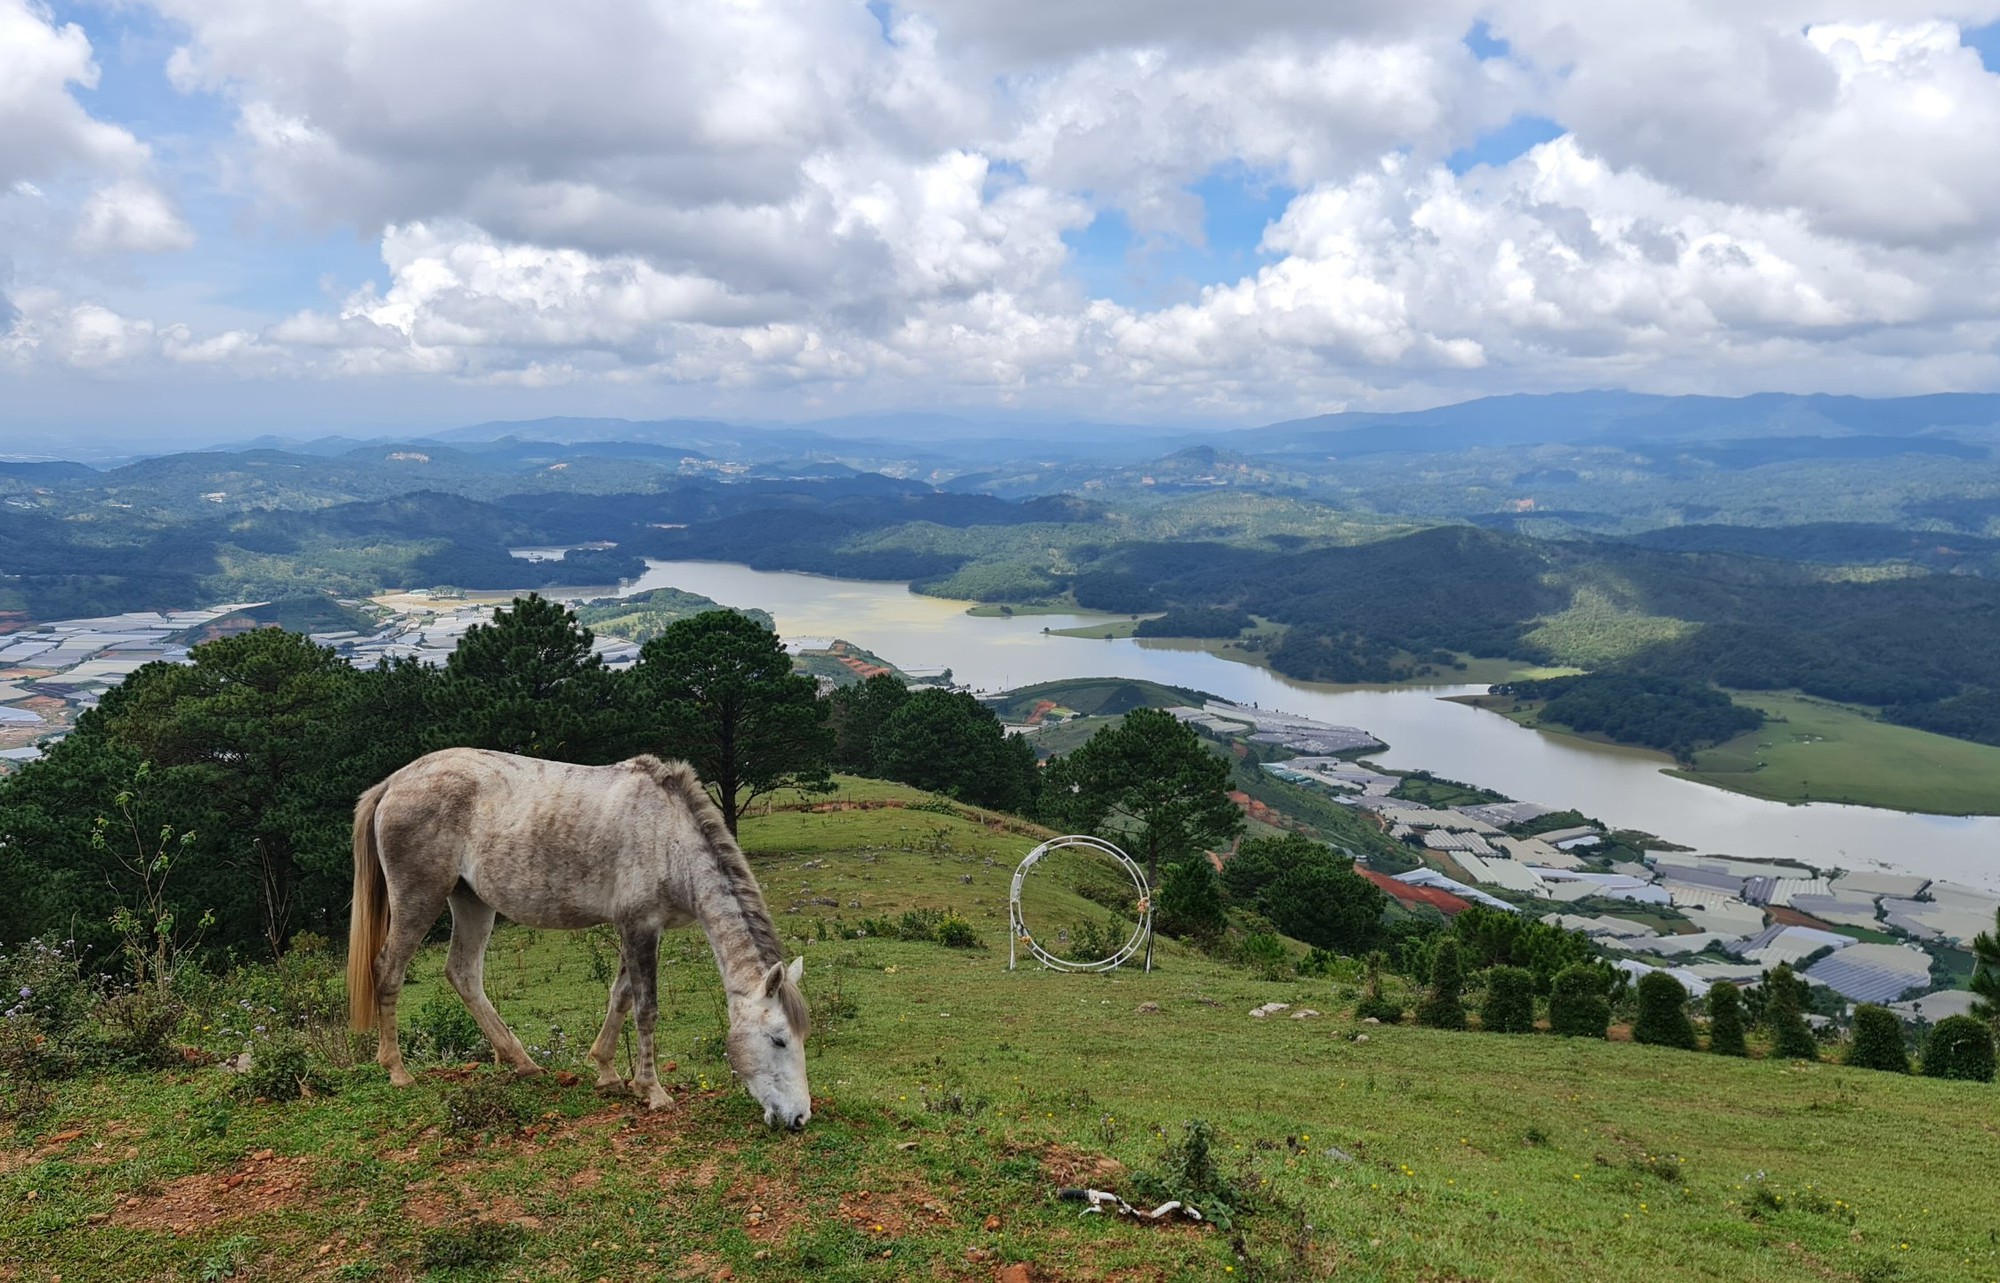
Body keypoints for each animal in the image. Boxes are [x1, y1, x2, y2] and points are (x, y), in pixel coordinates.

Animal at [350, 743, 812, 1127]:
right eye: (778, 1039)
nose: (799, 1118)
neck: (669, 835)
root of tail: (394, 782)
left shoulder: (640, 928)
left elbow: (620, 997)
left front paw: (608, 1071)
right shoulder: (640, 927)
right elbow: (646, 1009)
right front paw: (653, 1091)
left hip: (472, 902)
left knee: (463, 973)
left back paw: (522, 1062)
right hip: (419, 899)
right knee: (389, 970)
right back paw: (397, 1070)